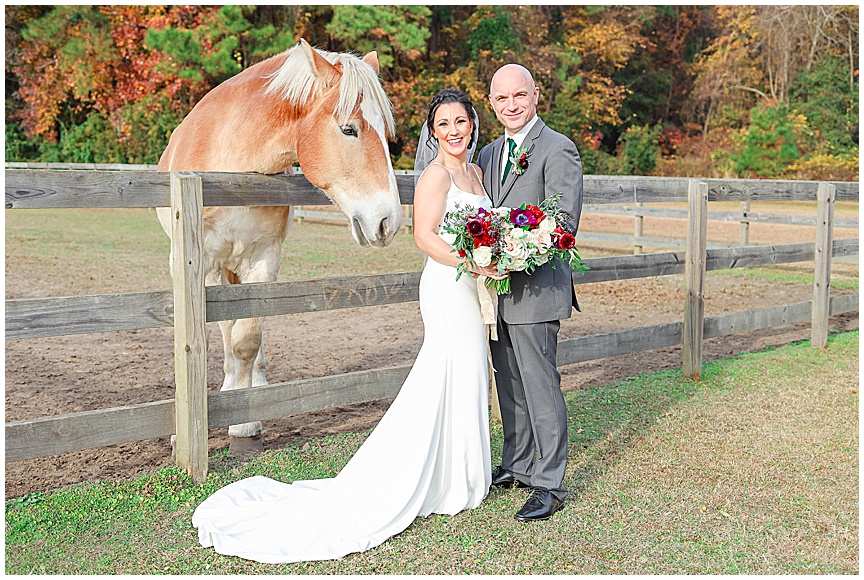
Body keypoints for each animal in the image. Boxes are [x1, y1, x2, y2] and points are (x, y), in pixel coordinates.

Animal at [157, 39, 404, 454]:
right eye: (349, 129)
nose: (389, 222)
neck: (231, 167)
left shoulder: (264, 259)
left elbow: (247, 339)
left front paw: (245, 421)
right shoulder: (203, 263)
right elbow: (223, 334)